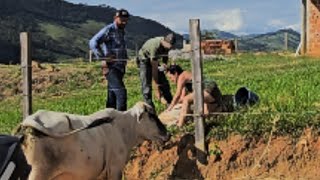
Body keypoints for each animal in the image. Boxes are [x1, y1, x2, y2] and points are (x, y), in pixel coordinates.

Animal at [16, 102, 170, 179]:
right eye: (151, 116)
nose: (167, 134)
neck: (124, 127)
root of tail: (30, 120)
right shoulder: (115, 168)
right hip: (38, 173)